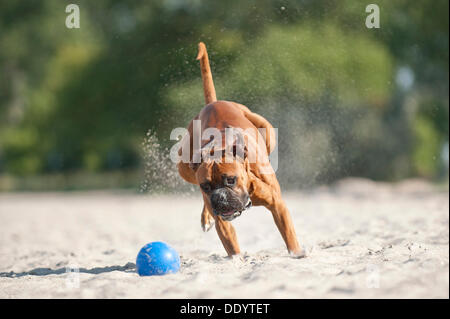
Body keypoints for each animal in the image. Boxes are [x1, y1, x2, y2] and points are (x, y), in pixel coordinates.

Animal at [176, 42, 302, 258]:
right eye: (206, 186)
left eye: (230, 180)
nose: (219, 196)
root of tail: (213, 103)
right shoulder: (223, 222)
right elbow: (233, 248)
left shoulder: (278, 206)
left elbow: (289, 237)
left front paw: (297, 254)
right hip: (185, 168)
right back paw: (206, 218)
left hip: (266, 130)